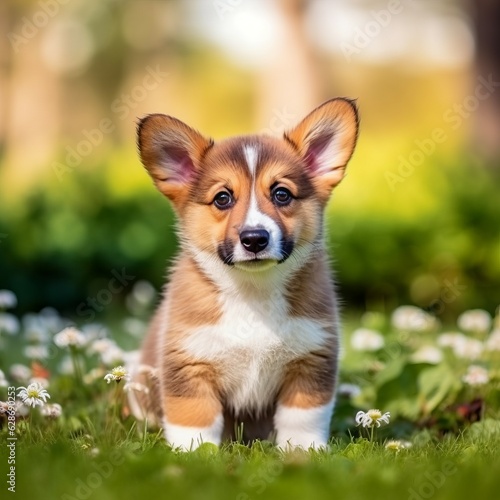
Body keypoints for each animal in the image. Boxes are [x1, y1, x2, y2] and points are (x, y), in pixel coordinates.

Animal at [129, 97, 360, 450]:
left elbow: (302, 420)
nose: (254, 239)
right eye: (223, 198)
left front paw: (304, 452)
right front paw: (193, 454)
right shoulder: (190, 364)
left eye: (281, 194)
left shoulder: (310, 360)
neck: (253, 290)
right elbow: (193, 420)